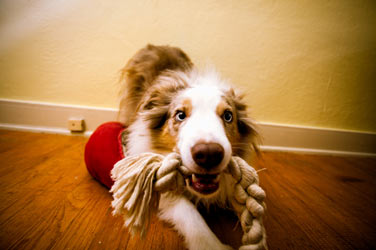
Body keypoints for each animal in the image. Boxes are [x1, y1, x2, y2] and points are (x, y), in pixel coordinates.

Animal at [118, 45, 258, 250]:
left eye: (228, 116)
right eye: (180, 115)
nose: (208, 154)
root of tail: (156, 45)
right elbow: (191, 216)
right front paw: (213, 245)